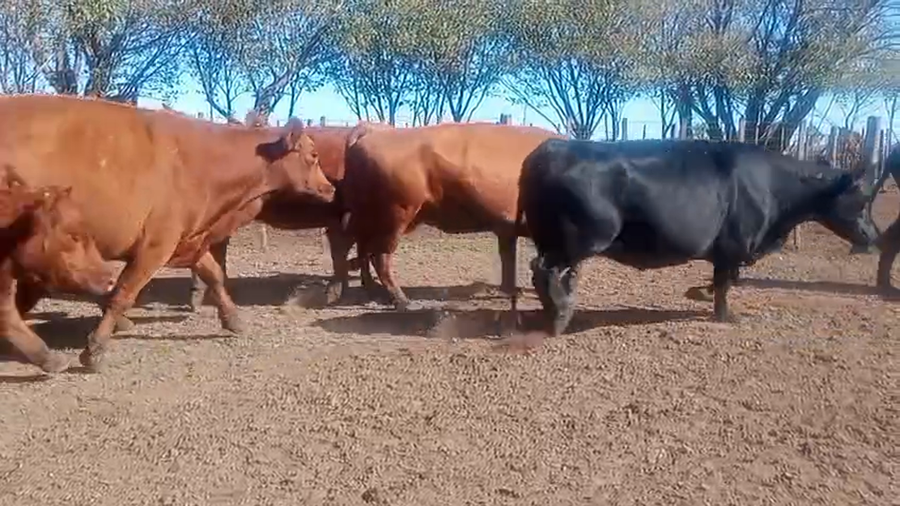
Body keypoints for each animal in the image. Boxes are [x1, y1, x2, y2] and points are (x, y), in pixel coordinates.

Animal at [340, 123, 565, 310]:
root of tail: (373, 128)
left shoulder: (506, 228)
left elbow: (508, 258)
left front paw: (511, 290)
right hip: (397, 215)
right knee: (380, 257)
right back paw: (402, 301)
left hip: (370, 216)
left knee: (362, 249)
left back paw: (373, 291)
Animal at [511, 138, 879, 336]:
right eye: (862, 201)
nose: (873, 235)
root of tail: (550, 148)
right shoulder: (732, 245)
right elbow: (724, 283)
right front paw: (725, 315)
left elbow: (723, 280)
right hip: (578, 238)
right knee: (543, 270)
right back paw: (559, 317)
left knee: (547, 273)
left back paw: (559, 309)